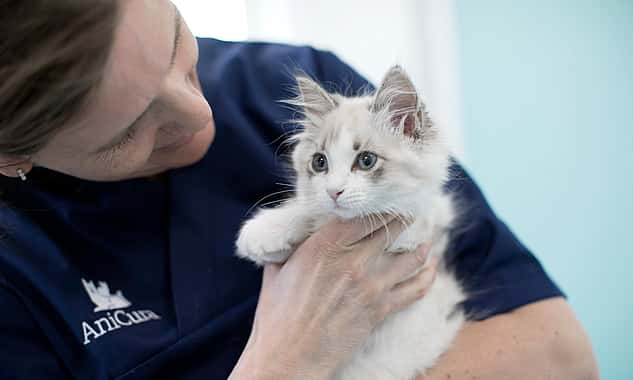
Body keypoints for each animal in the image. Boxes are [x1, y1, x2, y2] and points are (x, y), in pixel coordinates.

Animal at [236, 67, 464, 378]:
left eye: (366, 160)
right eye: (319, 162)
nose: (334, 191)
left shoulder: (429, 219)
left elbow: (403, 216)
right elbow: (312, 211)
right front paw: (267, 232)